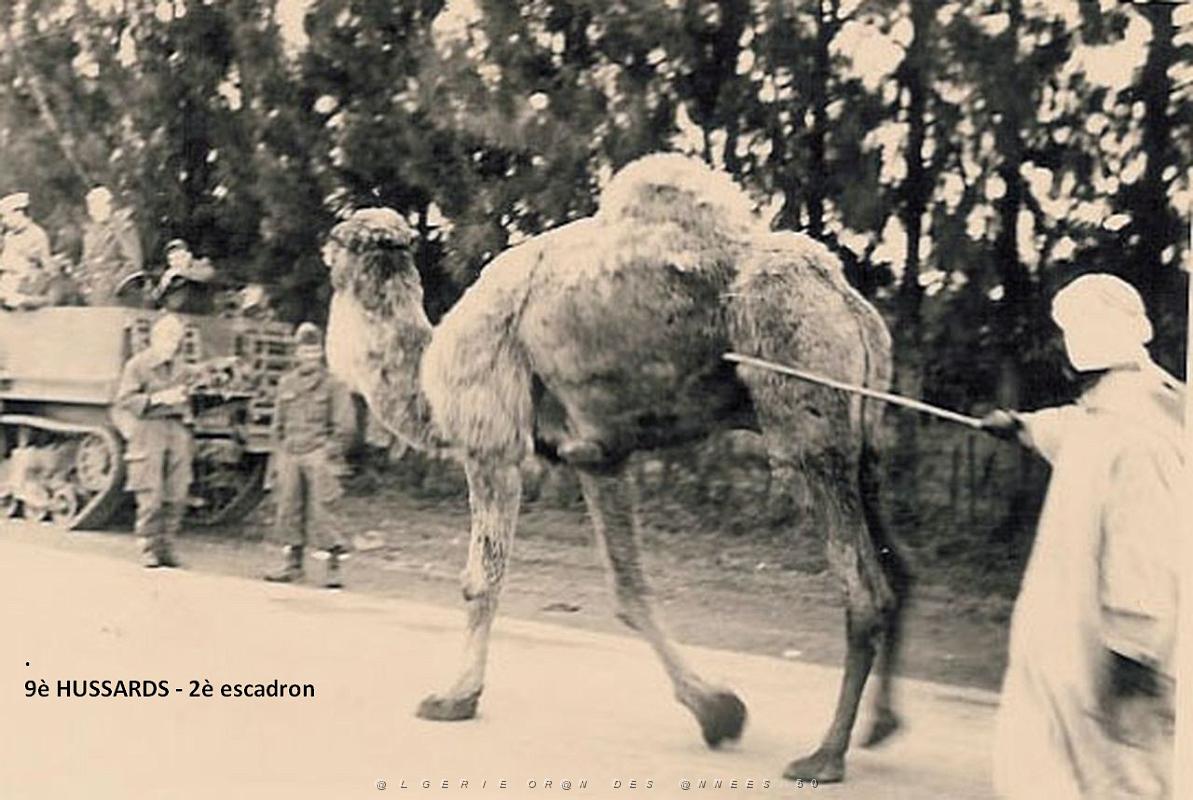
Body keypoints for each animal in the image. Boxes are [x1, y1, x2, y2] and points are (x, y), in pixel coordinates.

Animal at [323, 154, 910, 783]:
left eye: (338, 247)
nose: (332, 253)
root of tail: (848, 302)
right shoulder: (598, 455)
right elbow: (629, 588)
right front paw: (718, 711)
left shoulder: (492, 441)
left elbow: (481, 580)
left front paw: (454, 698)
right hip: (863, 439)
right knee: (895, 567)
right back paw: (880, 725)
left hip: (805, 413)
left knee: (863, 585)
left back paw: (825, 755)